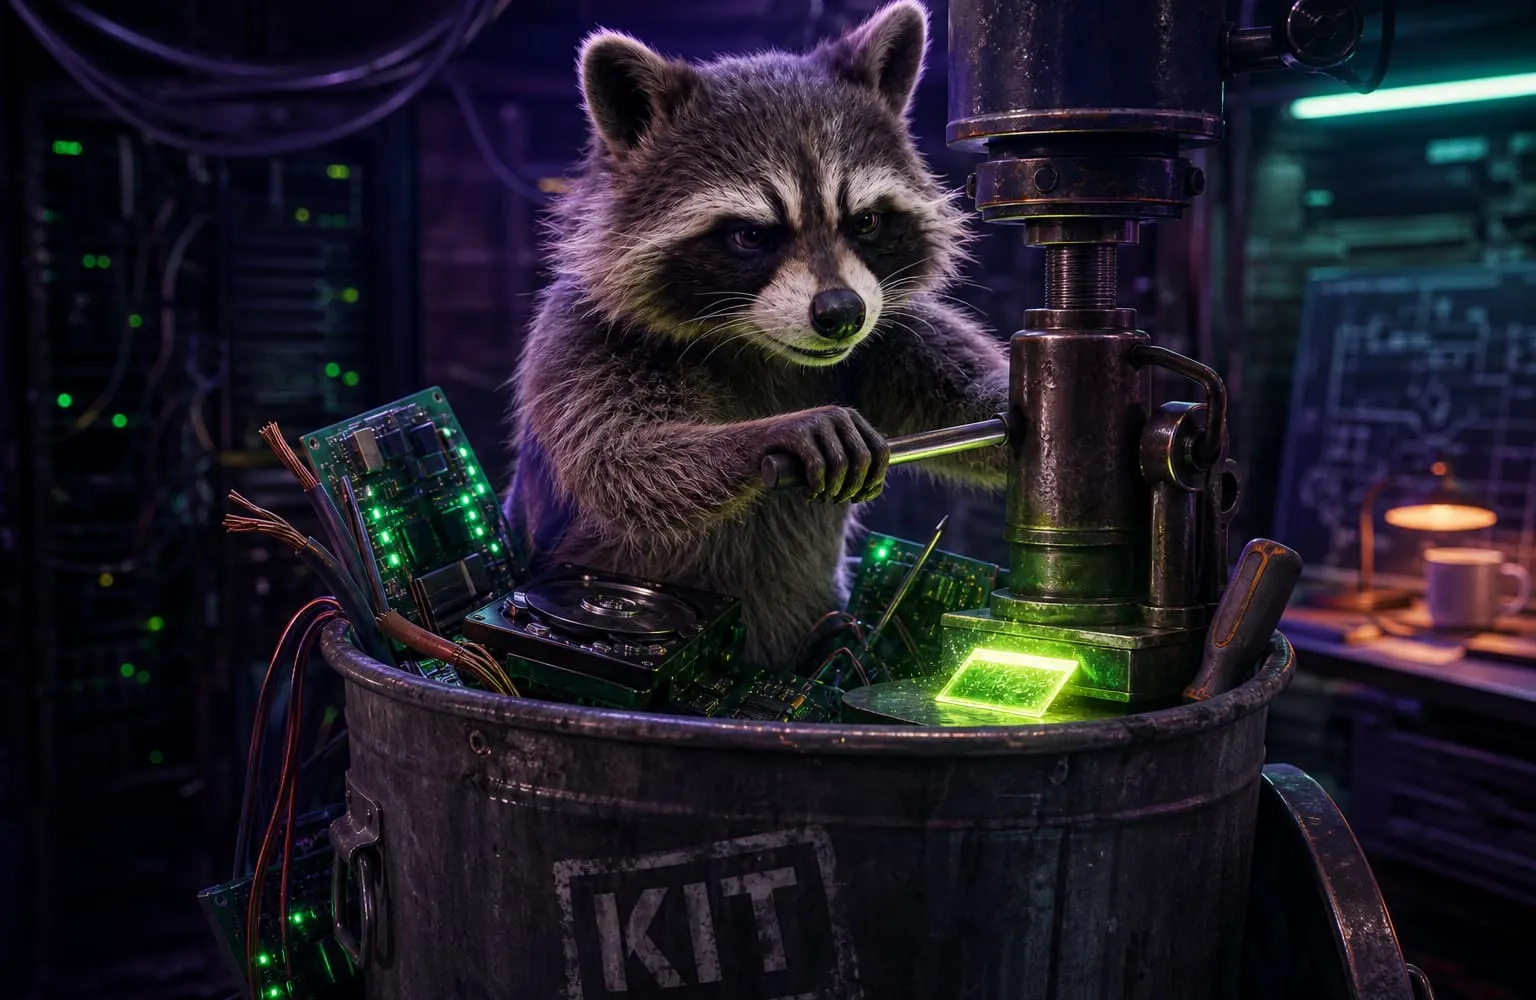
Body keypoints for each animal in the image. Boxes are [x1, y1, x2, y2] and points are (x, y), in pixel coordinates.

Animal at [505, 1, 1010, 668]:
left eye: (865, 221)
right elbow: (622, 461)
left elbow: (967, 412)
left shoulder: (890, 330)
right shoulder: (579, 338)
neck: (757, 344)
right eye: (751, 235)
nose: (842, 312)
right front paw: (773, 433)